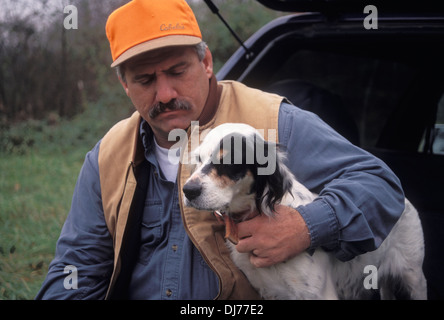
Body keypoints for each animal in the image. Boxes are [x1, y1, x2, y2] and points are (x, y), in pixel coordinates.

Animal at [183, 123, 426, 300]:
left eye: (228, 161)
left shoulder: (319, 294)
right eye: (198, 159)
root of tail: (404, 197)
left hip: (414, 278)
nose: (188, 191)